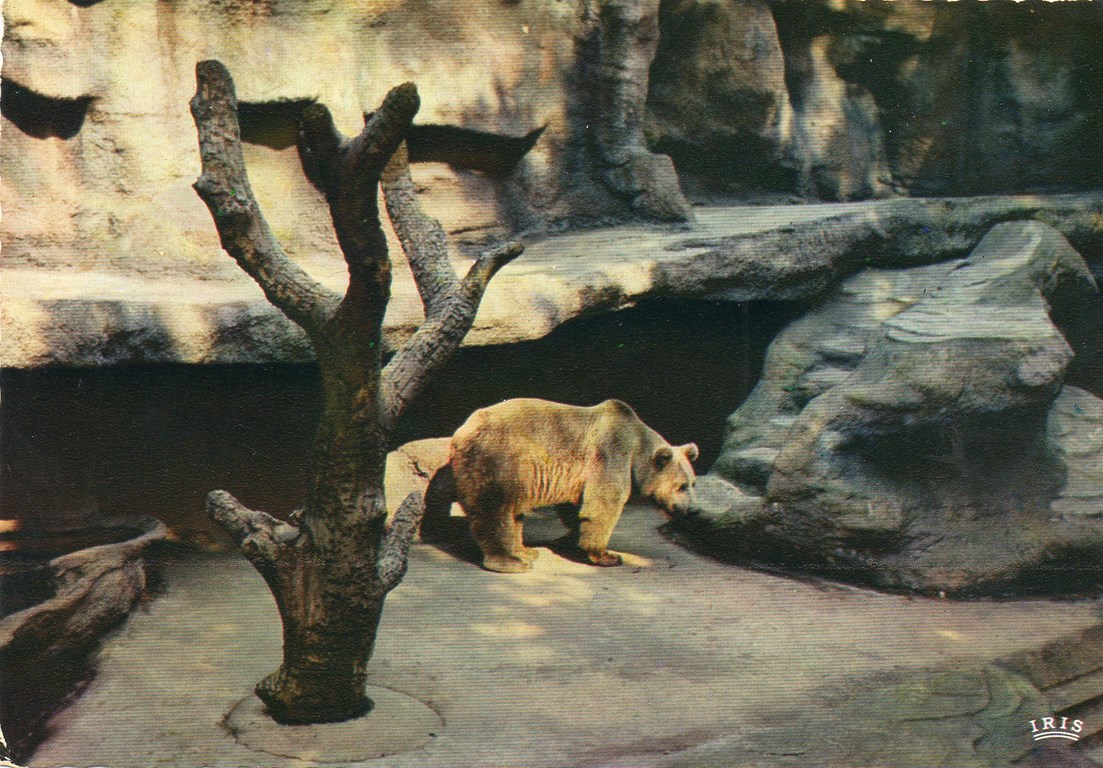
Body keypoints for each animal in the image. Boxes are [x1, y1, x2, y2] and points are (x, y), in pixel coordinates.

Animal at [444, 398, 698, 573]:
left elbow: (577, 506)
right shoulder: (611, 453)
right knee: (495, 510)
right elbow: (603, 504)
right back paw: (510, 561)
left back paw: (525, 551)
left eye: (693, 483)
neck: (637, 450)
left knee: (513, 513)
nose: (694, 509)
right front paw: (606, 555)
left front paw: (571, 539)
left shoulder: (577, 476)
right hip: (499, 457)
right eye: (681, 486)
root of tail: (460, 432)